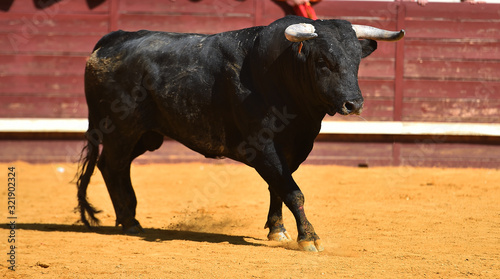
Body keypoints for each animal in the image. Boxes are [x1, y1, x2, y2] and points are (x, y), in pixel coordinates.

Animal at [76, 15, 402, 254]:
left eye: (357, 61)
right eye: (322, 62)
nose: (353, 104)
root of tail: (112, 39)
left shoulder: (294, 147)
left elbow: (278, 187)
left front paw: (277, 230)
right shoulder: (262, 145)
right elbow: (292, 190)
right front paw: (309, 238)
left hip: (146, 135)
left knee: (116, 167)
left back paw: (128, 218)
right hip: (121, 130)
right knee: (112, 166)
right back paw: (129, 221)